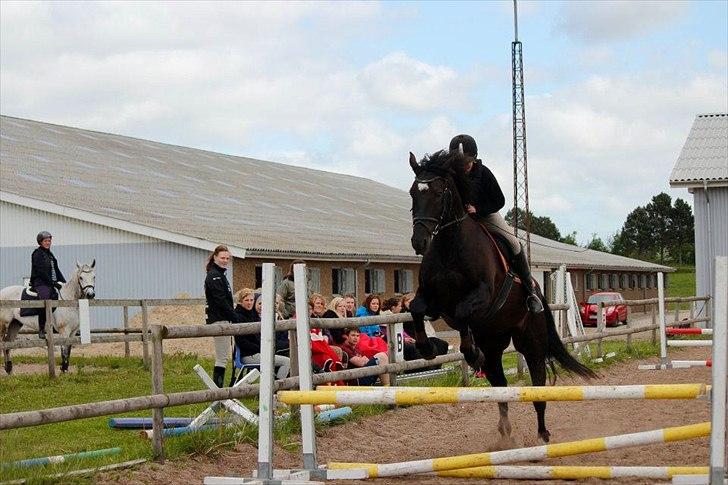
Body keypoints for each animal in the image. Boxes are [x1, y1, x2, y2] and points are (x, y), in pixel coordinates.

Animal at [406, 150, 596, 442]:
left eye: (438, 193)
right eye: (413, 193)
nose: (419, 242)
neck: (450, 246)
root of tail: (540, 293)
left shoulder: (482, 296)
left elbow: (463, 313)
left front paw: (469, 352)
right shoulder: (432, 301)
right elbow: (416, 308)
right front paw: (427, 349)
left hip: (531, 341)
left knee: (537, 385)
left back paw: (542, 435)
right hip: (493, 341)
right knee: (501, 383)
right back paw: (505, 431)